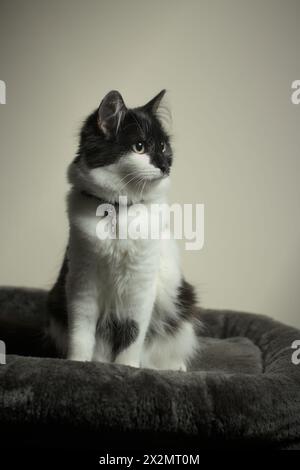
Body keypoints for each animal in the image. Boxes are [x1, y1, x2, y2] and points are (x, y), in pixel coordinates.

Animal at [47, 89, 199, 370]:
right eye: (139, 147)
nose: (165, 166)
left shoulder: (141, 286)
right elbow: (81, 332)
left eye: (163, 146)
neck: (118, 210)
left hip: (181, 305)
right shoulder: (82, 282)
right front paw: (78, 363)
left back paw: (174, 367)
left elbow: (132, 333)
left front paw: (127, 368)